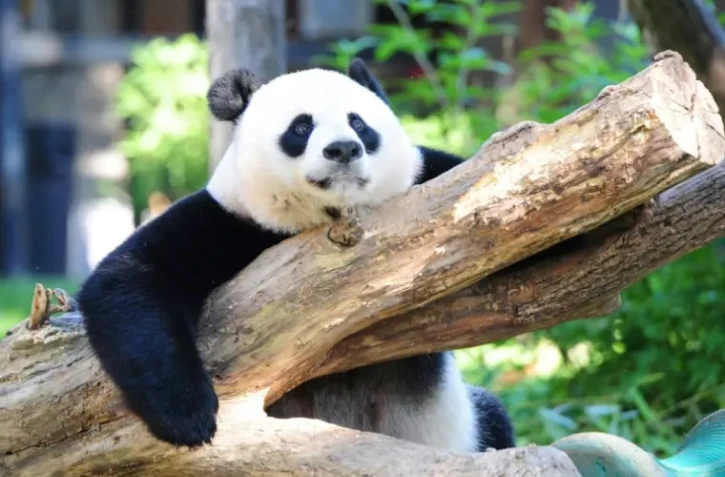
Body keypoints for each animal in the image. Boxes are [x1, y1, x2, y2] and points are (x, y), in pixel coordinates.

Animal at [78, 58, 515, 453]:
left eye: (359, 123)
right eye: (301, 127)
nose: (344, 149)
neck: (328, 216)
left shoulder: (430, 180)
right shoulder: (230, 221)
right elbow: (130, 279)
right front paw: (187, 414)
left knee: (495, 418)